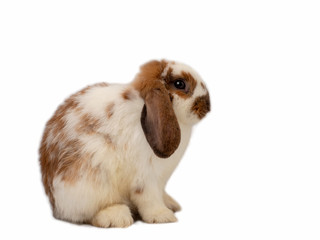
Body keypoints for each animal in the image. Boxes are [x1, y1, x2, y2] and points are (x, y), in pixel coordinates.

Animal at [39, 59, 210, 227]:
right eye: (180, 84)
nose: (207, 106)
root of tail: (55, 204)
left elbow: (160, 193)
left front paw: (170, 205)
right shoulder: (145, 177)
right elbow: (149, 198)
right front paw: (162, 216)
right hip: (92, 176)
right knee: (85, 213)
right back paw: (116, 216)